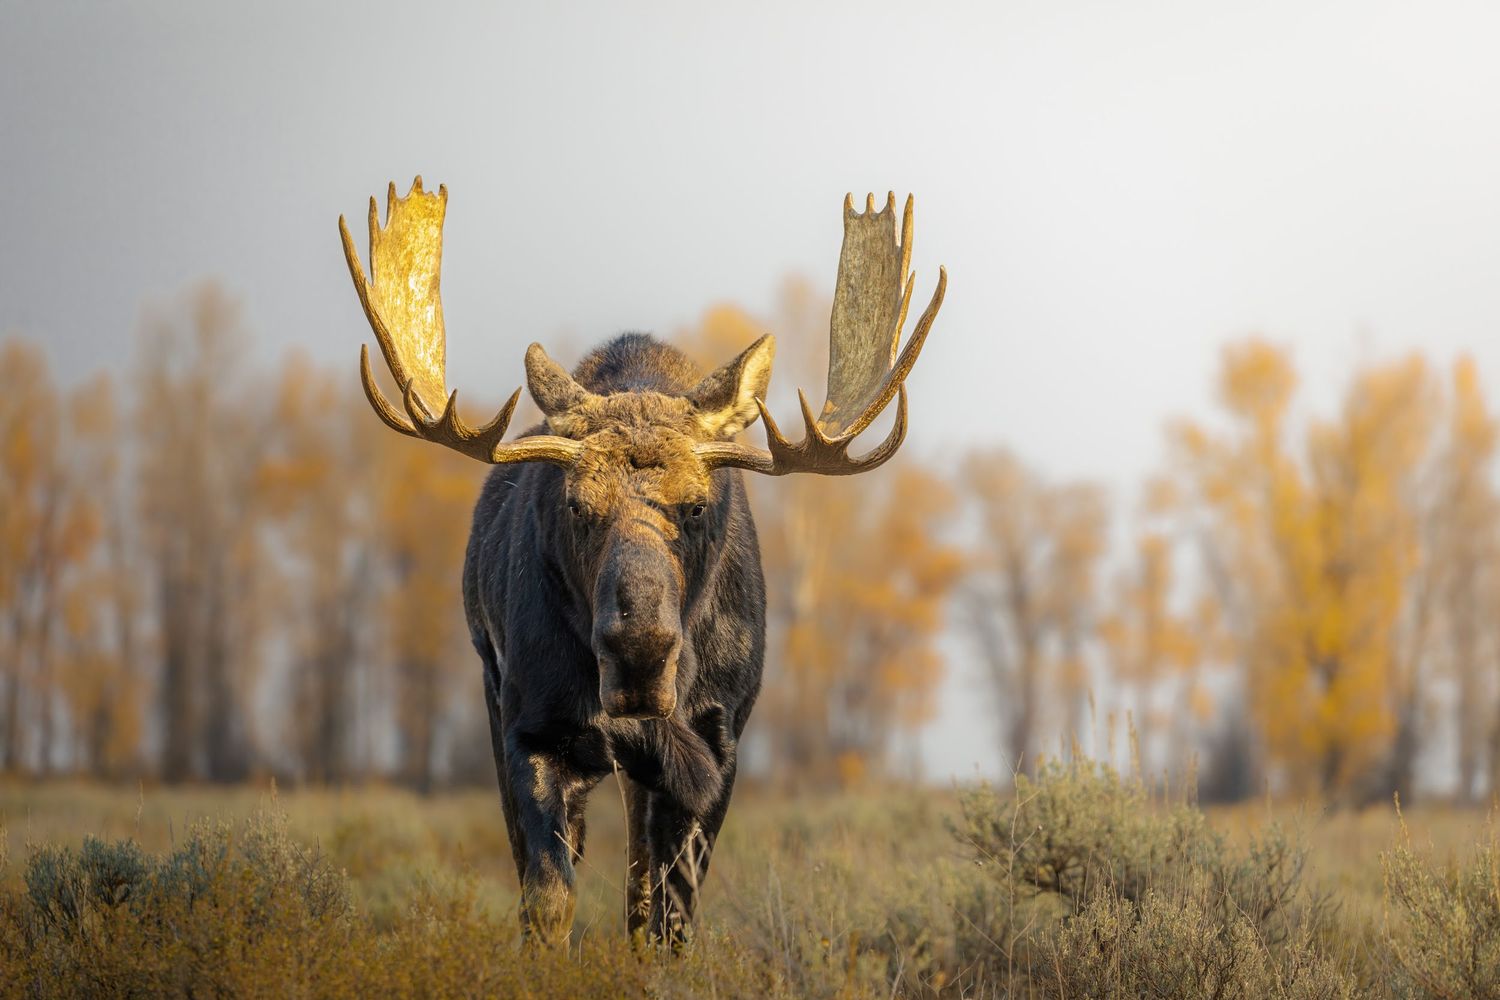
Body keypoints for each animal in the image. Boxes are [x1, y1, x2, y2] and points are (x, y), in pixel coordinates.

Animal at [338, 179, 945, 946]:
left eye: (697, 505)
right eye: (576, 505)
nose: (638, 652)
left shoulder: (716, 746)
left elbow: (665, 920)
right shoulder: (532, 727)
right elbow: (548, 898)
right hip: (492, 685)